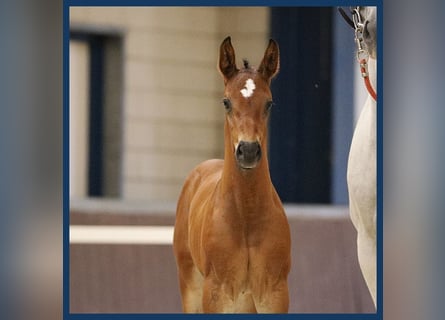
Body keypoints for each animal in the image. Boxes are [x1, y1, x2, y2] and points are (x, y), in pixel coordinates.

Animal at [173, 37, 292, 312]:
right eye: (226, 102)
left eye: (269, 103)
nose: (247, 151)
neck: (246, 217)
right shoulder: (216, 293)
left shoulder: (274, 293)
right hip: (190, 284)